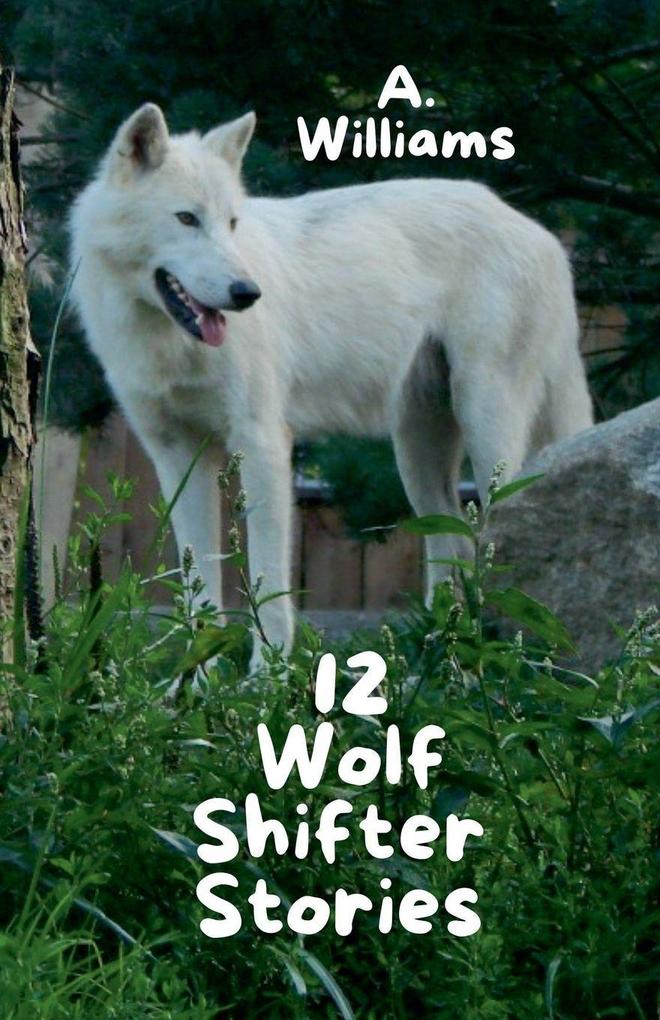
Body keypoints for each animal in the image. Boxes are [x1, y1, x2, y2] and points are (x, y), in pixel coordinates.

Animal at [70, 104, 593, 666]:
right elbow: (199, 586)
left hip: (488, 429)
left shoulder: (262, 443)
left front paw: (267, 673)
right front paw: (199, 676)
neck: (168, 343)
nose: (247, 292)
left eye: (231, 224)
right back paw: (440, 653)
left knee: (493, 537)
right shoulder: (177, 456)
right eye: (186, 218)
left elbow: (267, 579)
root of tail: (542, 236)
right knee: (452, 543)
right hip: (418, 457)